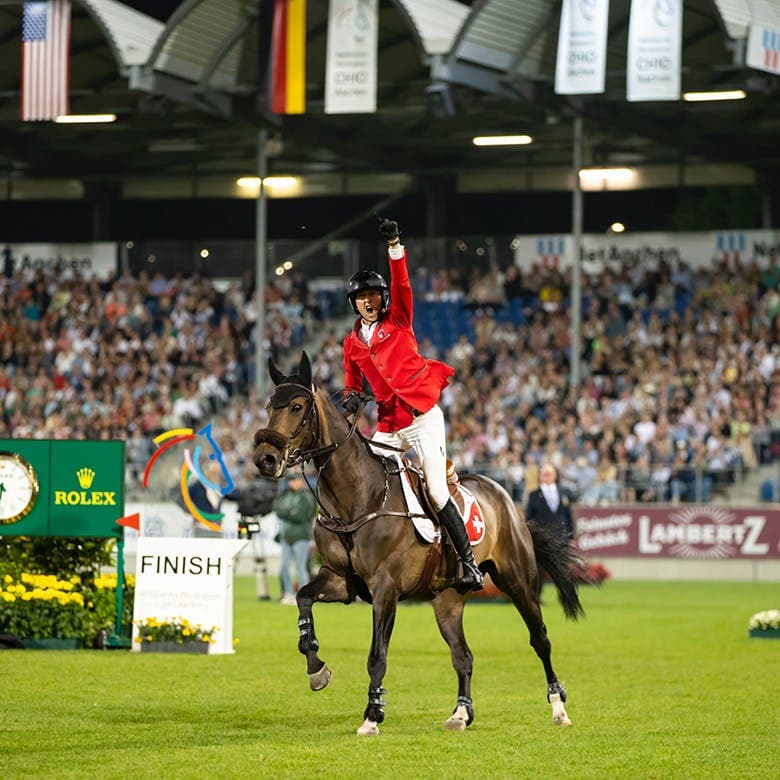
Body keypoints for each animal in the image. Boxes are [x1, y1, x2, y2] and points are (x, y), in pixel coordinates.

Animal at [254, 354, 584, 736]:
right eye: (268, 407)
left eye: (296, 406)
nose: (264, 459)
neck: (357, 498)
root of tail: (505, 496)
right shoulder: (340, 579)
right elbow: (303, 600)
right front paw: (316, 669)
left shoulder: (385, 588)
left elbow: (377, 656)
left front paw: (372, 715)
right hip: (447, 599)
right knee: (463, 655)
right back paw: (461, 714)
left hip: (518, 581)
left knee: (540, 639)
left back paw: (558, 707)